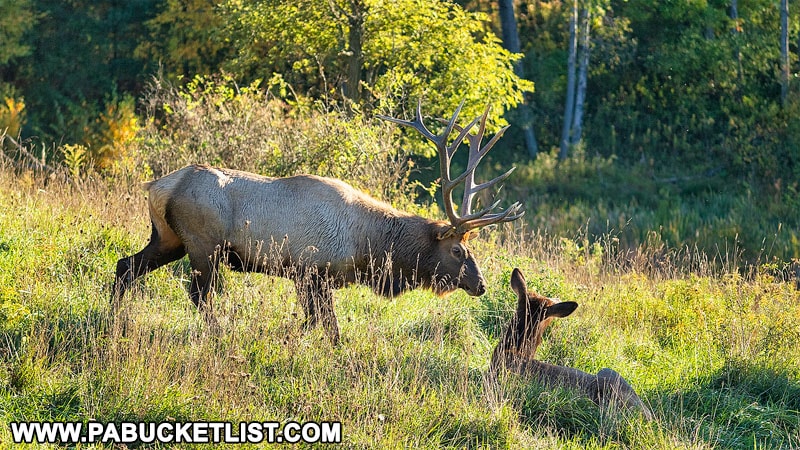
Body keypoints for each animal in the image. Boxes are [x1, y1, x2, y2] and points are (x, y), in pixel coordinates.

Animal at [112, 102, 524, 344]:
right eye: (457, 250)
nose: (481, 285)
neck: (368, 246)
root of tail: (157, 186)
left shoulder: (311, 278)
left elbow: (320, 323)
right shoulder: (312, 271)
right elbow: (326, 325)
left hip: (169, 239)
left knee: (125, 266)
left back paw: (115, 317)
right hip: (202, 245)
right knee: (199, 295)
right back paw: (218, 332)